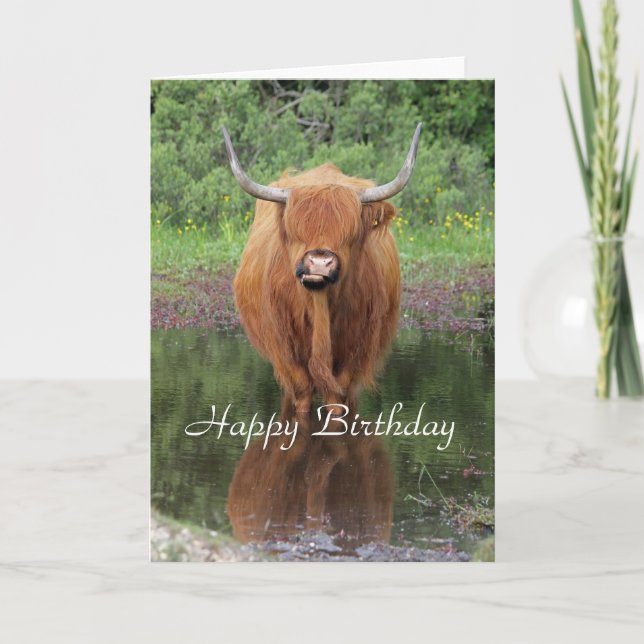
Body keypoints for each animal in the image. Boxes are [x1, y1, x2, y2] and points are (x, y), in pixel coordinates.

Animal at [222, 123, 422, 414]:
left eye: (350, 234)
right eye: (295, 231)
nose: (318, 262)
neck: (319, 308)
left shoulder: (355, 354)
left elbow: (337, 401)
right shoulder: (285, 353)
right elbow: (302, 397)